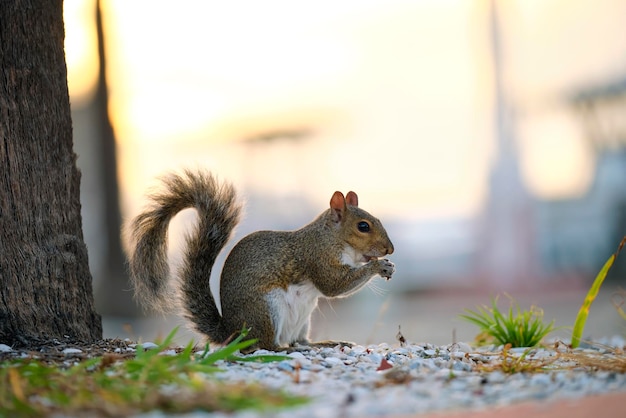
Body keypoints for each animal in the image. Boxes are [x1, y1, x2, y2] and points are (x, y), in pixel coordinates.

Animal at [124, 169, 392, 350]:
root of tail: (232, 332)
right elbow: (334, 286)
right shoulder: (317, 257)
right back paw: (281, 349)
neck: (331, 238)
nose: (389, 249)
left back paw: (323, 343)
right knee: (266, 345)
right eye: (363, 226)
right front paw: (378, 266)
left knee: (299, 342)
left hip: (303, 319)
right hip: (266, 309)